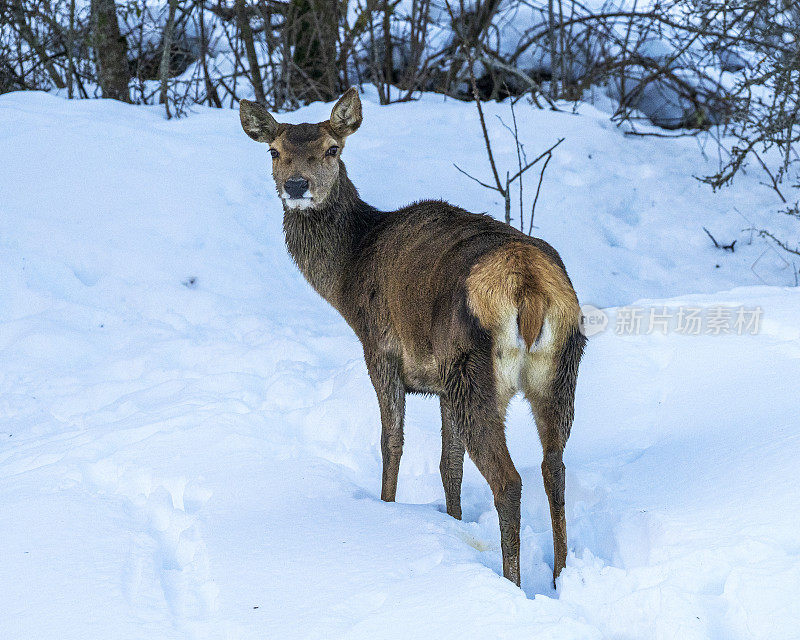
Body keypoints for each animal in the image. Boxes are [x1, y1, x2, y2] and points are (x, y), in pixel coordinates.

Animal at [241, 87, 584, 588]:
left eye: (332, 148)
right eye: (274, 151)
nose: (297, 185)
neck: (347, 274)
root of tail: (530, 288)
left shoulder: (381, 348)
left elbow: (391, 442)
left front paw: (387, 508)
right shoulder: (438, 381)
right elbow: (448, 464)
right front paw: (453, 522)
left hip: (473, 368)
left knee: (509, 480)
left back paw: (513, 581)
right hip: (558, 370)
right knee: (553, 466)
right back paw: (562, 577)